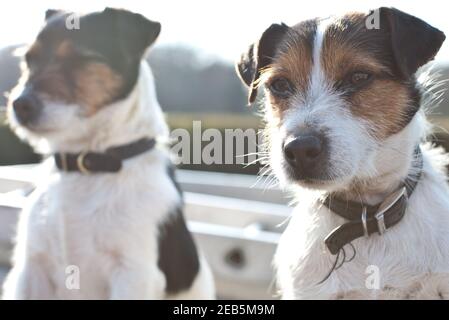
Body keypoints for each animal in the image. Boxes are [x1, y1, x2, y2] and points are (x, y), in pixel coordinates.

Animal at [3, 7, 214, 302]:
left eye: (81, 58)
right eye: (28, 59)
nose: (19, 105)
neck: (88, 166)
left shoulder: (133, 274)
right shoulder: (31, 269)